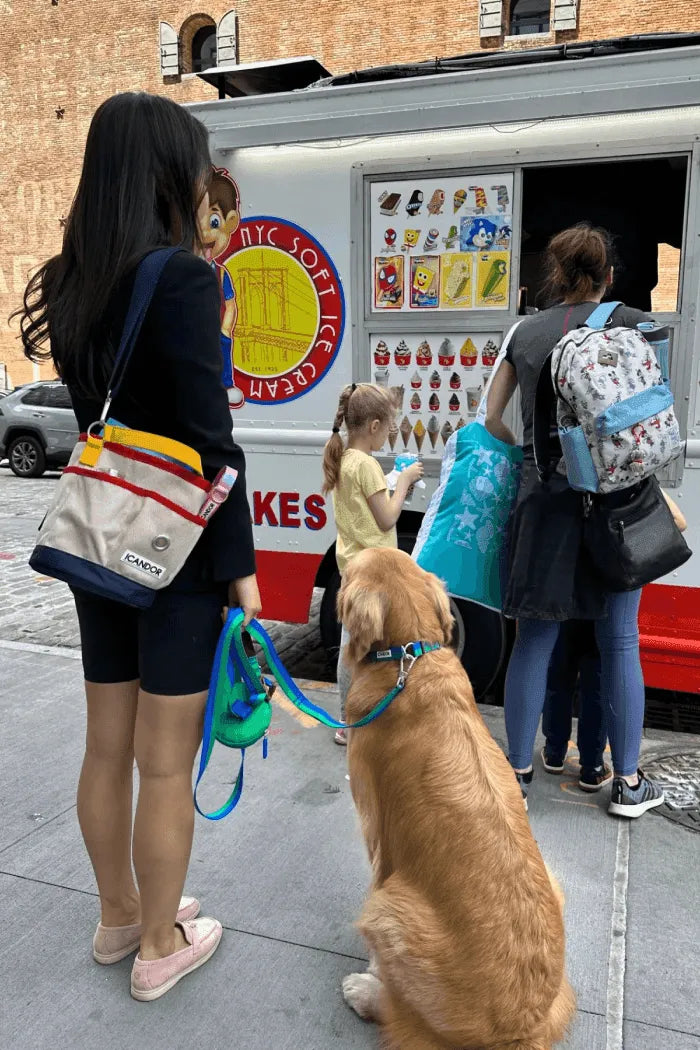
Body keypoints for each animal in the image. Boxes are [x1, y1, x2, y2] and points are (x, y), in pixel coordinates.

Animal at [337, 550, 575, 1050]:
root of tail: (521, 1030)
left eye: (349, 573)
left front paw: (372, 971)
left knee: (400, 1015)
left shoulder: (378, 835)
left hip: (385, 908)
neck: (408, 657)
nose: (339, 559)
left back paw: (365, 991)